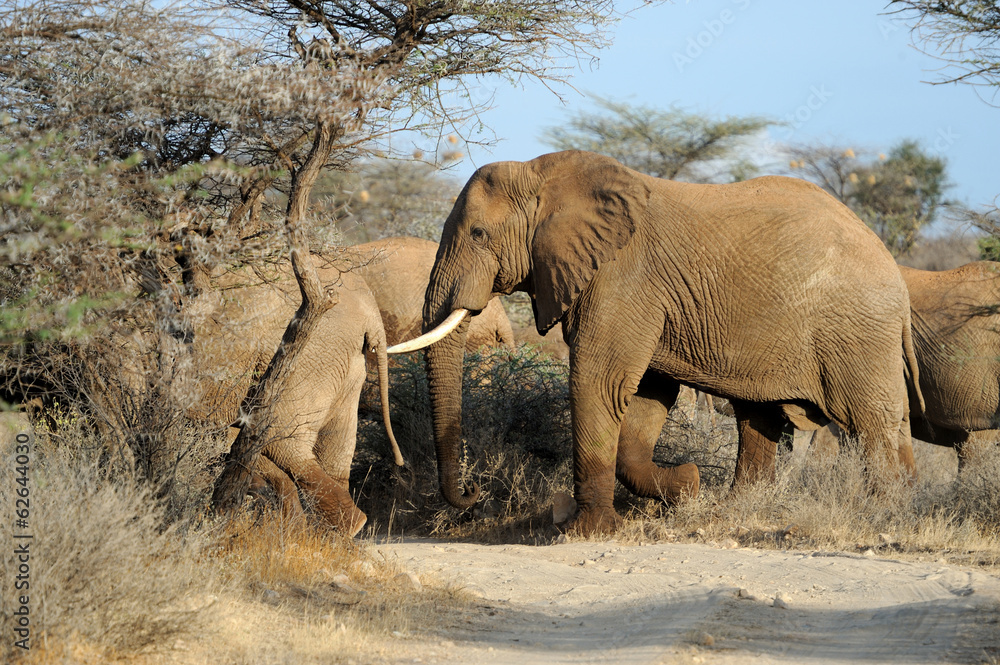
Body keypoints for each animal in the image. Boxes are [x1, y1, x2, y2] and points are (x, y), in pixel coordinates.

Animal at [189, 265, 402, 536]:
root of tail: (371, 316)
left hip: (305, 360)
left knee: (279, 440)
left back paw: (336, 529)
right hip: (346, 364)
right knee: (333, 449)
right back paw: (327, 536)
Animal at [390, 150, 921, 536]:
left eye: (479, 234)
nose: (472, 497)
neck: (544, 173)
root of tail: (896, 273)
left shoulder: (623, 277)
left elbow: (598, 381)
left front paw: (587, 533)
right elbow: (647, 395)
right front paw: (687, 484)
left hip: (858, 332)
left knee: (871, 422)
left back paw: (887, 516)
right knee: (762, 418)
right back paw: (741, 508)